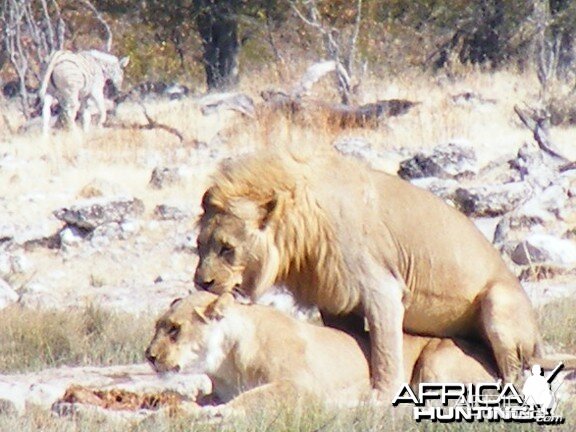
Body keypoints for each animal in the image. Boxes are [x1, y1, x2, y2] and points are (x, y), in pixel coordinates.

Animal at [146, 292, 498, 410]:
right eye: (157, 325)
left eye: (174, 329)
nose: (149, 356)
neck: (225, 362)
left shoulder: (301, 385)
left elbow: (248, 398)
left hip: (436, 361)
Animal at [196, 150, 544, 400]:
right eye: (199, 246)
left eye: (227, 248)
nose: (201, 282)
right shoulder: (335, 299)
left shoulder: (382, 290)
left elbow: (385, 351)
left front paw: (383, 397)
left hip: (498, 303)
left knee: (516, 370)